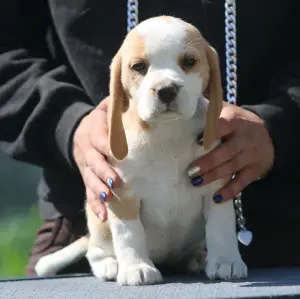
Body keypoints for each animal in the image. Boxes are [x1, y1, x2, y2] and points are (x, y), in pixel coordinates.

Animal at [35, 15, 247, 286]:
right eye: (139, 66)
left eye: (189, 62)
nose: (166, 89)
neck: (167, 134)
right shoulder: (120, 192)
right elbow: (129, 234)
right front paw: (136, 268)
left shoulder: (215, 186)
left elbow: (221, 226)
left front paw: (226, 261)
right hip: (98, 221)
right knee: (96, 251)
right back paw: (110, 265)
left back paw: (198, 258)